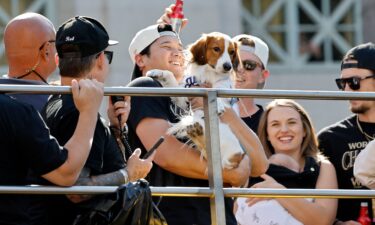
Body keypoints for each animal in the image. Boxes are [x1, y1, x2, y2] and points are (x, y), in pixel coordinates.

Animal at [148, 31, 245, 169]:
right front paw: (159, 72)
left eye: (232, 52)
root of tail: (237, 157)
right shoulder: (184, 98)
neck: (209, 74)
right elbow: (171, 77)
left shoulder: (223, 86)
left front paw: (218, 105)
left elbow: (218, 89)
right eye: (216, 49)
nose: (228, 66)